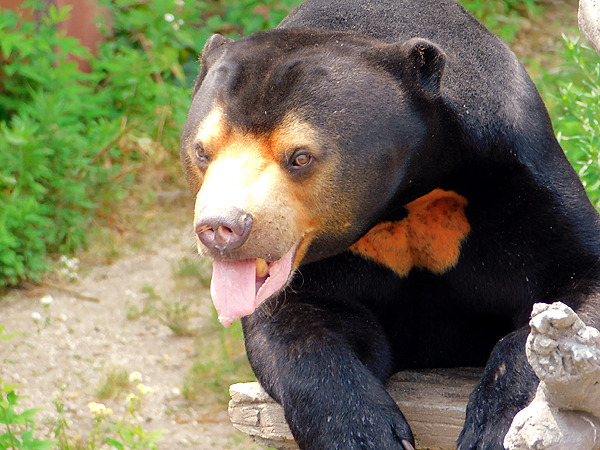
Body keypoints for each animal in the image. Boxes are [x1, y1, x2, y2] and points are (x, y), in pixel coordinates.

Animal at [180, 0, 600, 446]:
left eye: (300, 157)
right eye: (202, 150)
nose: (222, 228)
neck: (405, 198)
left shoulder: (517, 178)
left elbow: (569, 283)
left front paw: (493, 425)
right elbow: (298, 325)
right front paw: (365, 432)